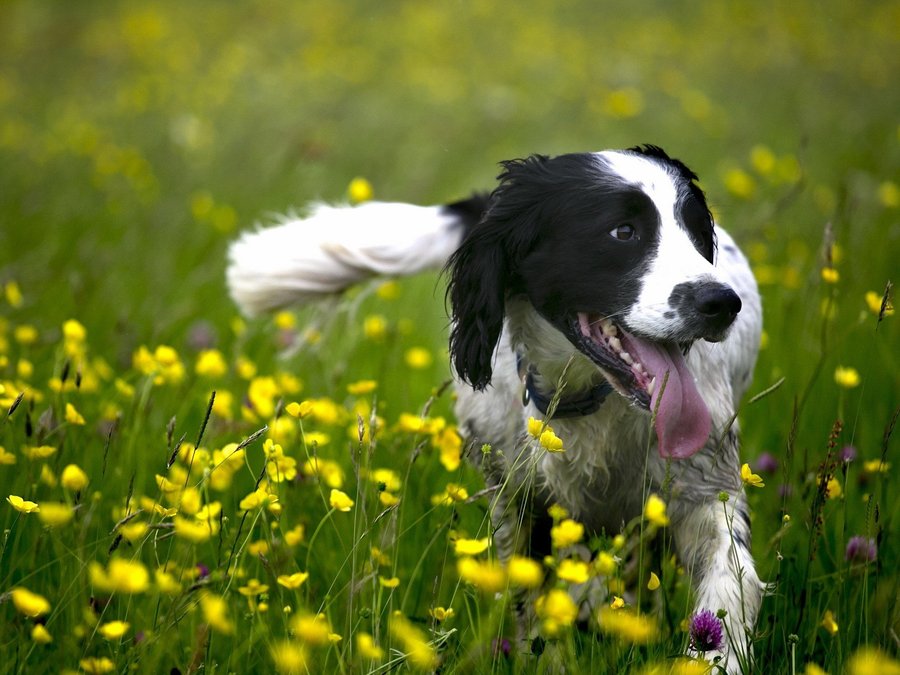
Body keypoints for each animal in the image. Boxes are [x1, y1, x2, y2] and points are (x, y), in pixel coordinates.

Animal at [229, 144, 764, 672]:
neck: (585, 403)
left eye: (698, 234)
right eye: (623, 232)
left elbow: (724, 597)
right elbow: (538, 620)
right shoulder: (521, 505)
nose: (721, 303)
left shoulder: (705, 491)